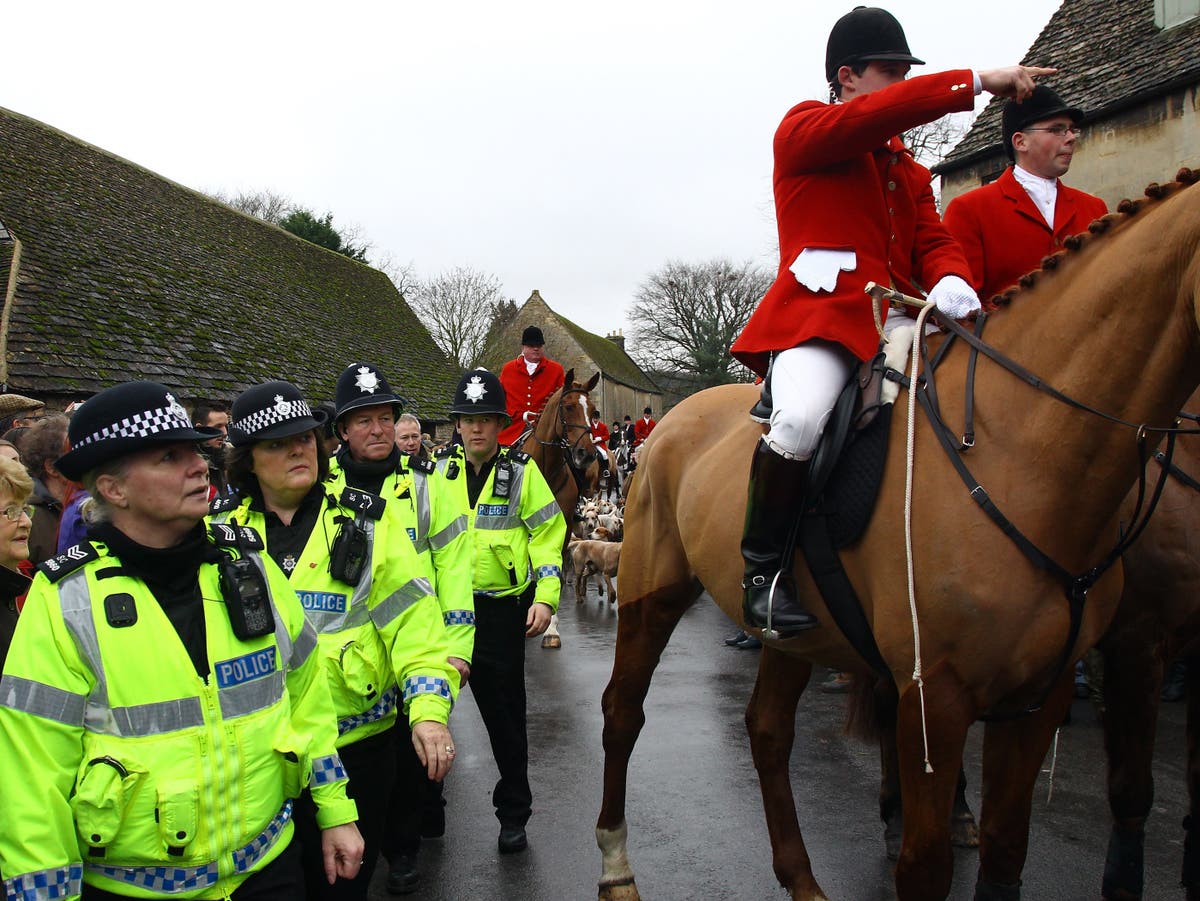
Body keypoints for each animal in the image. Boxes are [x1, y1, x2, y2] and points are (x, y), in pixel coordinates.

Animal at [600, 170, 1200, 901]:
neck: (1019, 450)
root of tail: (677, 416)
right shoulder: (935, 697)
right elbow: (924, 864)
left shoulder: (1040, 695)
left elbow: (1006, 848)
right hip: (650, 591)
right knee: (623, 712)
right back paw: (616, 866)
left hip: (797, 631)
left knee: (767, 730)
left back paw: (802, 878)